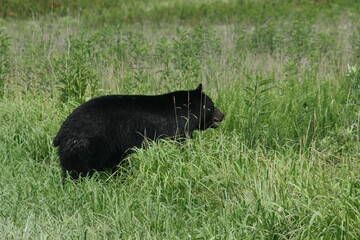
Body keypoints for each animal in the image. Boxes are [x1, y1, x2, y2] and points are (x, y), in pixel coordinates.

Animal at [53, 83, 224, 179]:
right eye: (213, 104)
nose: (222, 115)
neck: (187, 111)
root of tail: (62, 131)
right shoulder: (176, 128)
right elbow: (179, 145)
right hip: (88, 142)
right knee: (78, 168)